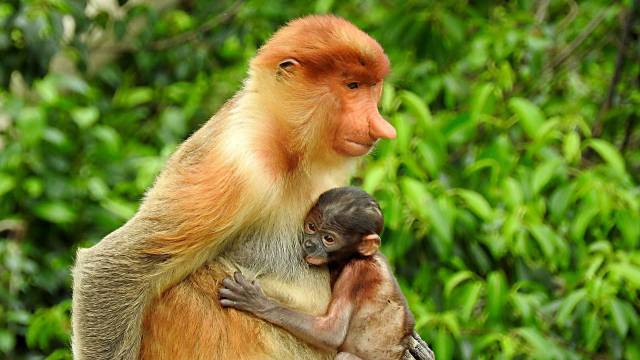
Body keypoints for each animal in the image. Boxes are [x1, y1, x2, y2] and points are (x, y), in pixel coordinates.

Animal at [70, 14, 400, 360]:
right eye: (352, 86)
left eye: (372, 88)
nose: (381, 127)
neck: (285, 146)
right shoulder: (237, 167)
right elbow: (110, 269)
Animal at [220, 187, 436, 358]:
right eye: (311, 227)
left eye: (328, 239)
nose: (309, 244)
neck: (357, 256)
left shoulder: (355, 273)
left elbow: (332, 333)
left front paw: (256, 301)